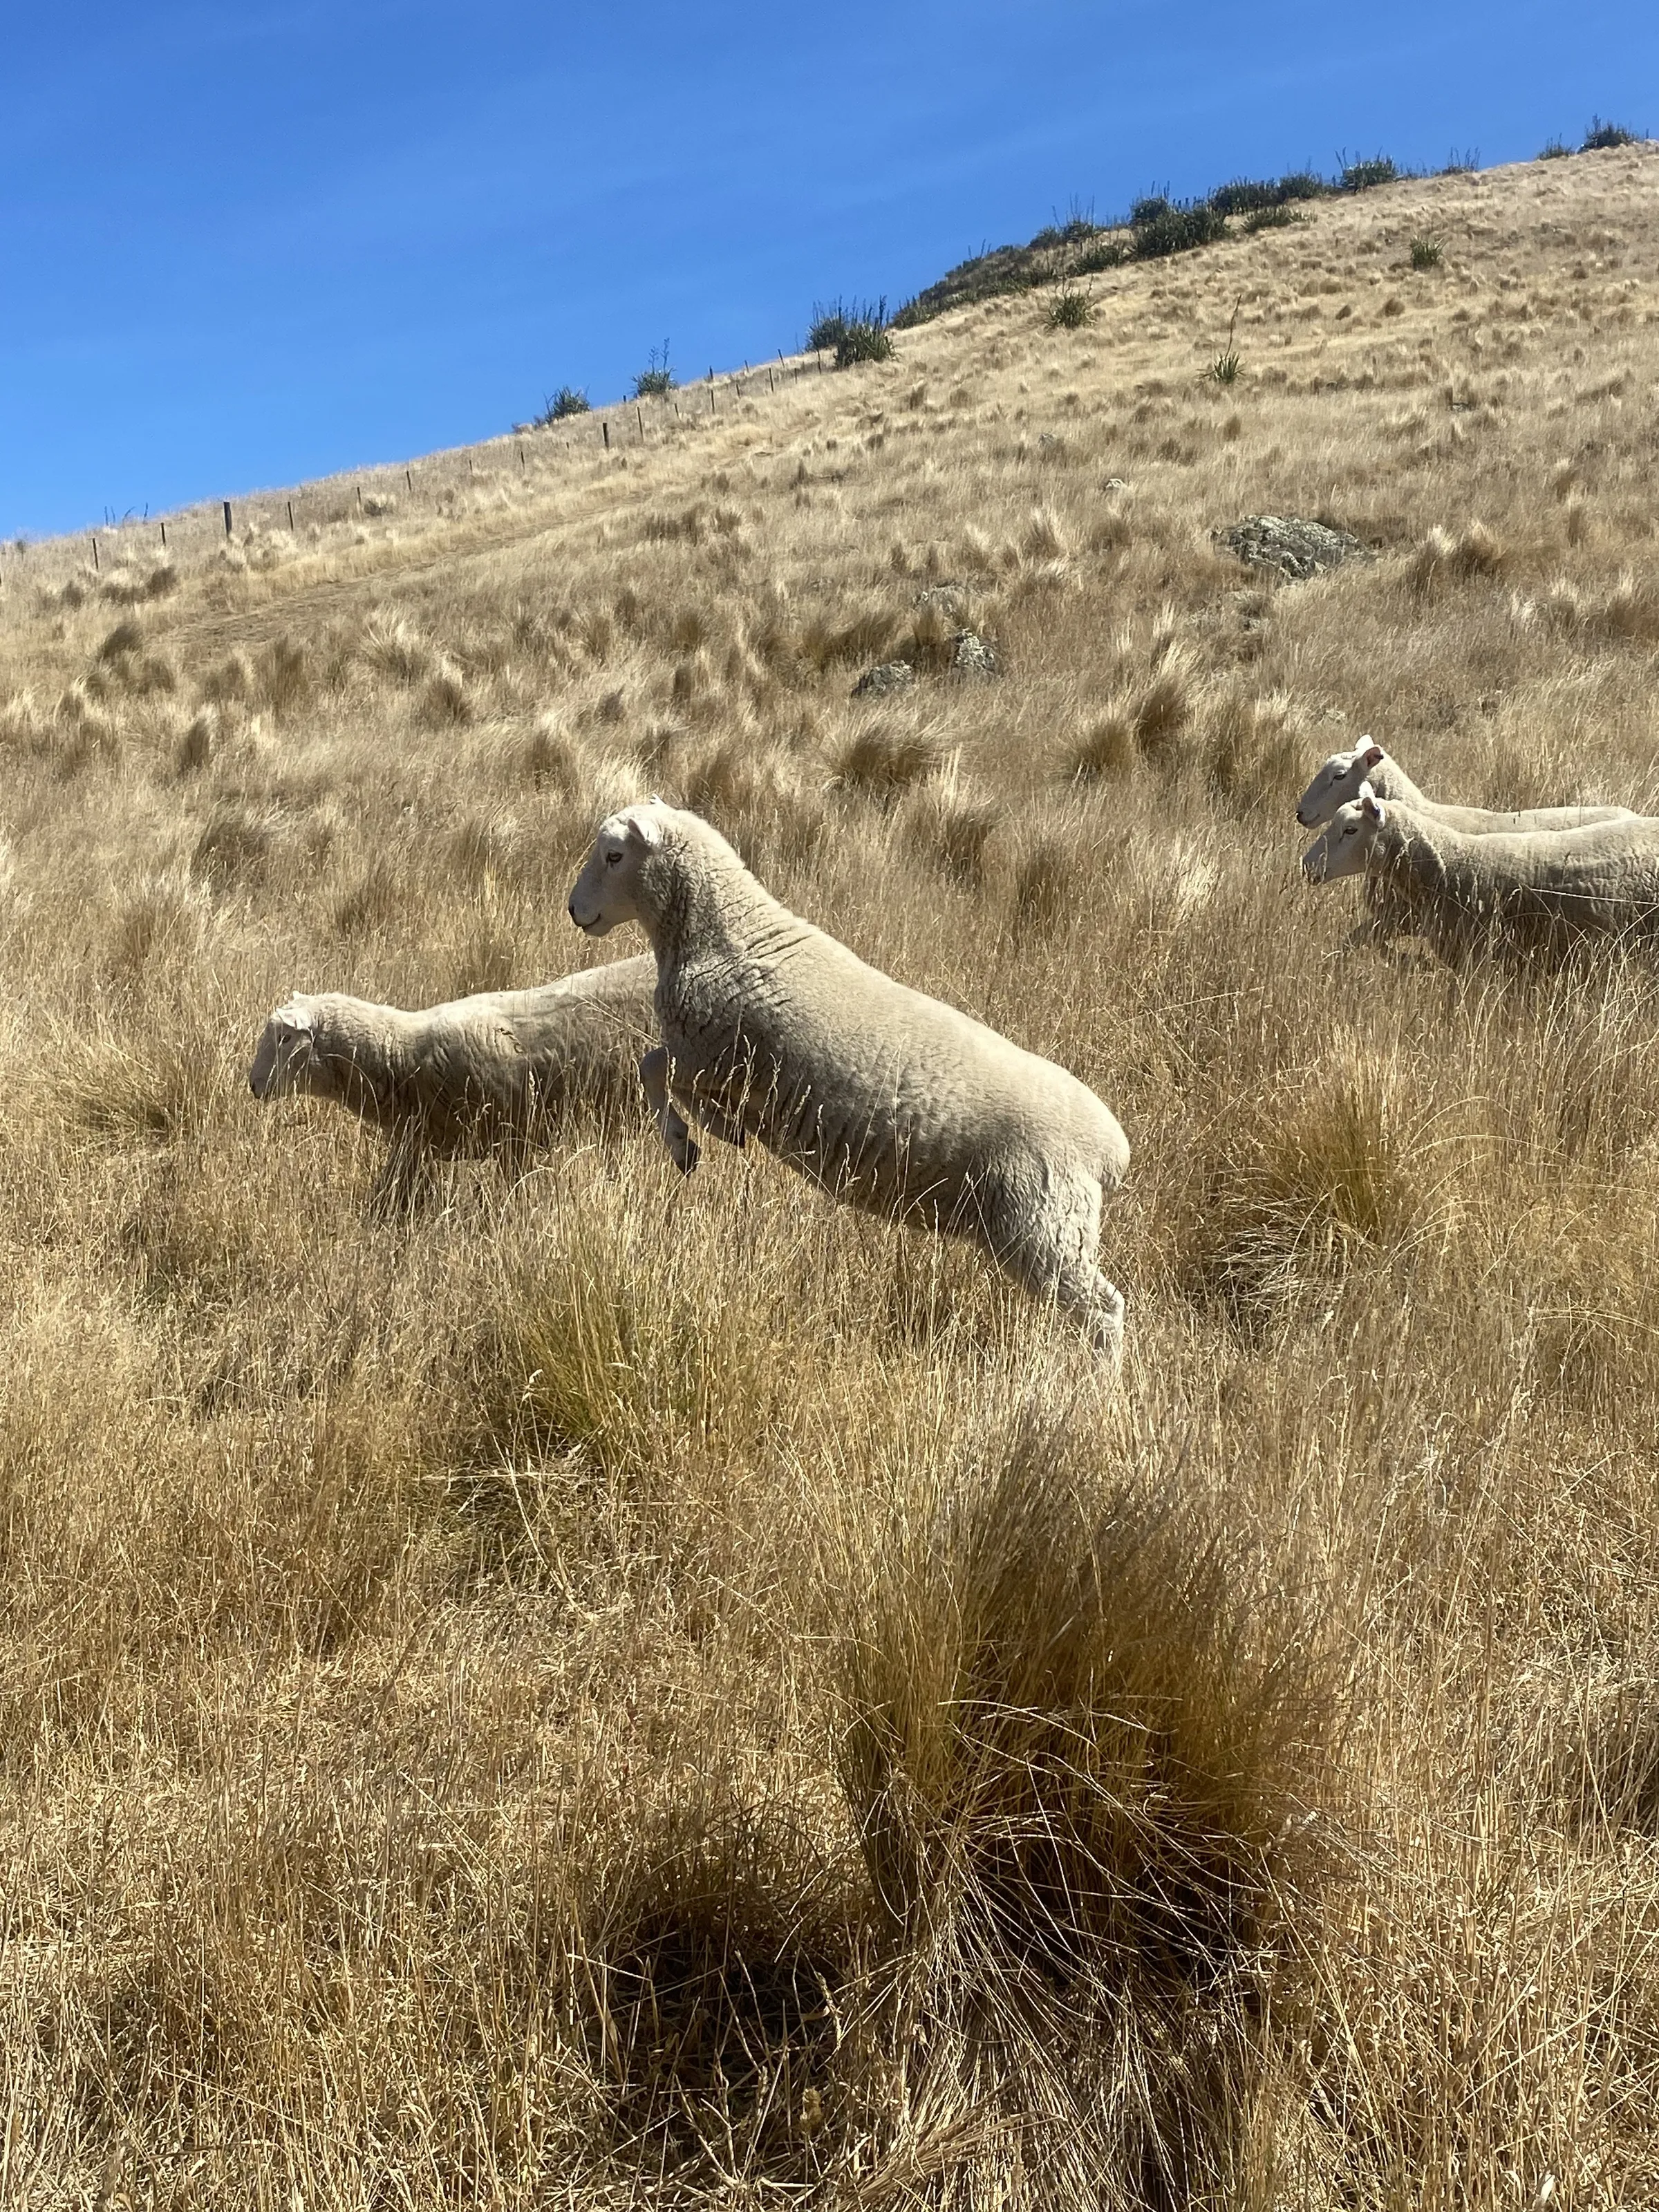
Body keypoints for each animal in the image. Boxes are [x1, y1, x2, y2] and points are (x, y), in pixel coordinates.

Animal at [567, 801, 1131, 1362]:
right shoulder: (720, 1065)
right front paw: (721, 1129)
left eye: (614, 855)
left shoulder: (710, 1054)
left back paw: (1096, 1380)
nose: (574, 910)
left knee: (1105, 1310)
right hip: (1038, 1228)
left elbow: (652, 1069)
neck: (728, 934)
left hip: (1044, 1227)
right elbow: (667, 1078)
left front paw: (687, 1142)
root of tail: (1111, 1151)